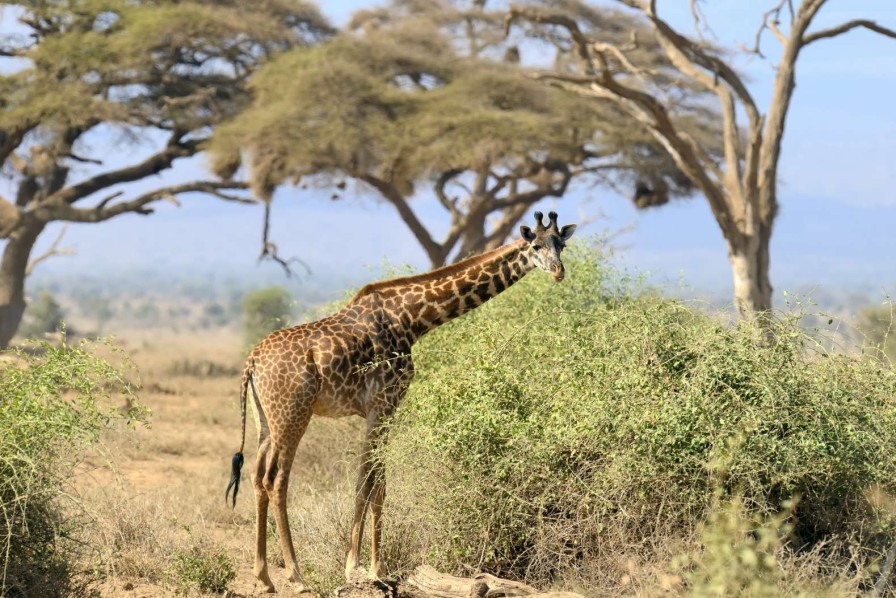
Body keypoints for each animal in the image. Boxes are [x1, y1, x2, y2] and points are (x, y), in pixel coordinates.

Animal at [224, 212, 576, 596]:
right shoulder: (383, 404)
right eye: (536, 245)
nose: (558, 271)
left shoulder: (383, 410)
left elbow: (379, 484)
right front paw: (356, 567)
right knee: (276, 481)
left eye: (562, 244)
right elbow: (367, 481)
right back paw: (296, 576)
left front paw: (375, 565)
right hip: (293, 415)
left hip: (265, 421)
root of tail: (252, 360)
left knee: (256, 477)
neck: (412, 319)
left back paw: (263, 576)